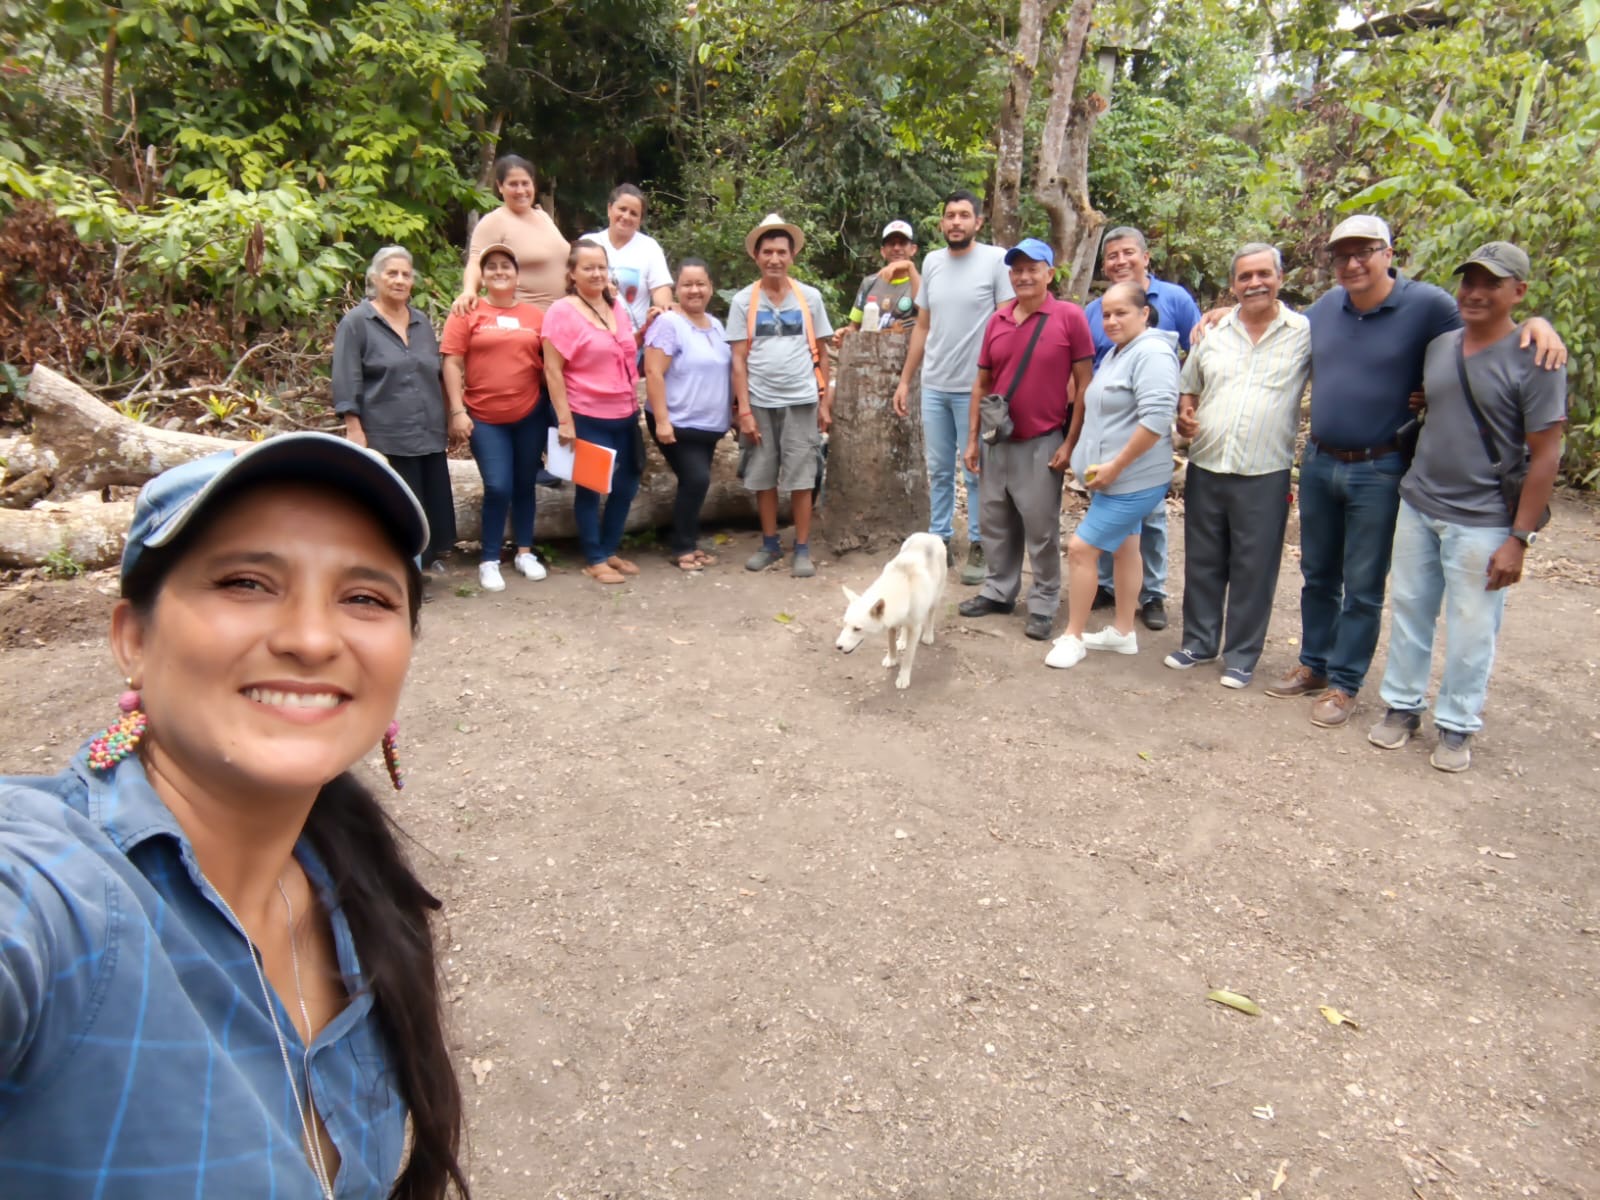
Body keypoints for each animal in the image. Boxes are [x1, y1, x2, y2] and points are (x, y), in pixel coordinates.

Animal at [835, 532, 948, 689]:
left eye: (857, 629)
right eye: (844, 624)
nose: (838, 647)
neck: (904, 585)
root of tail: (930, 534)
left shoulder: (915, 628)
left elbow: (908, 657)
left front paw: (903, 677)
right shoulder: (892, 623)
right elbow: (891, 644)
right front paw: (892, 659)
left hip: (936, 596)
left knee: (931, 614)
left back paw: (928, 636)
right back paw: (902, 640)